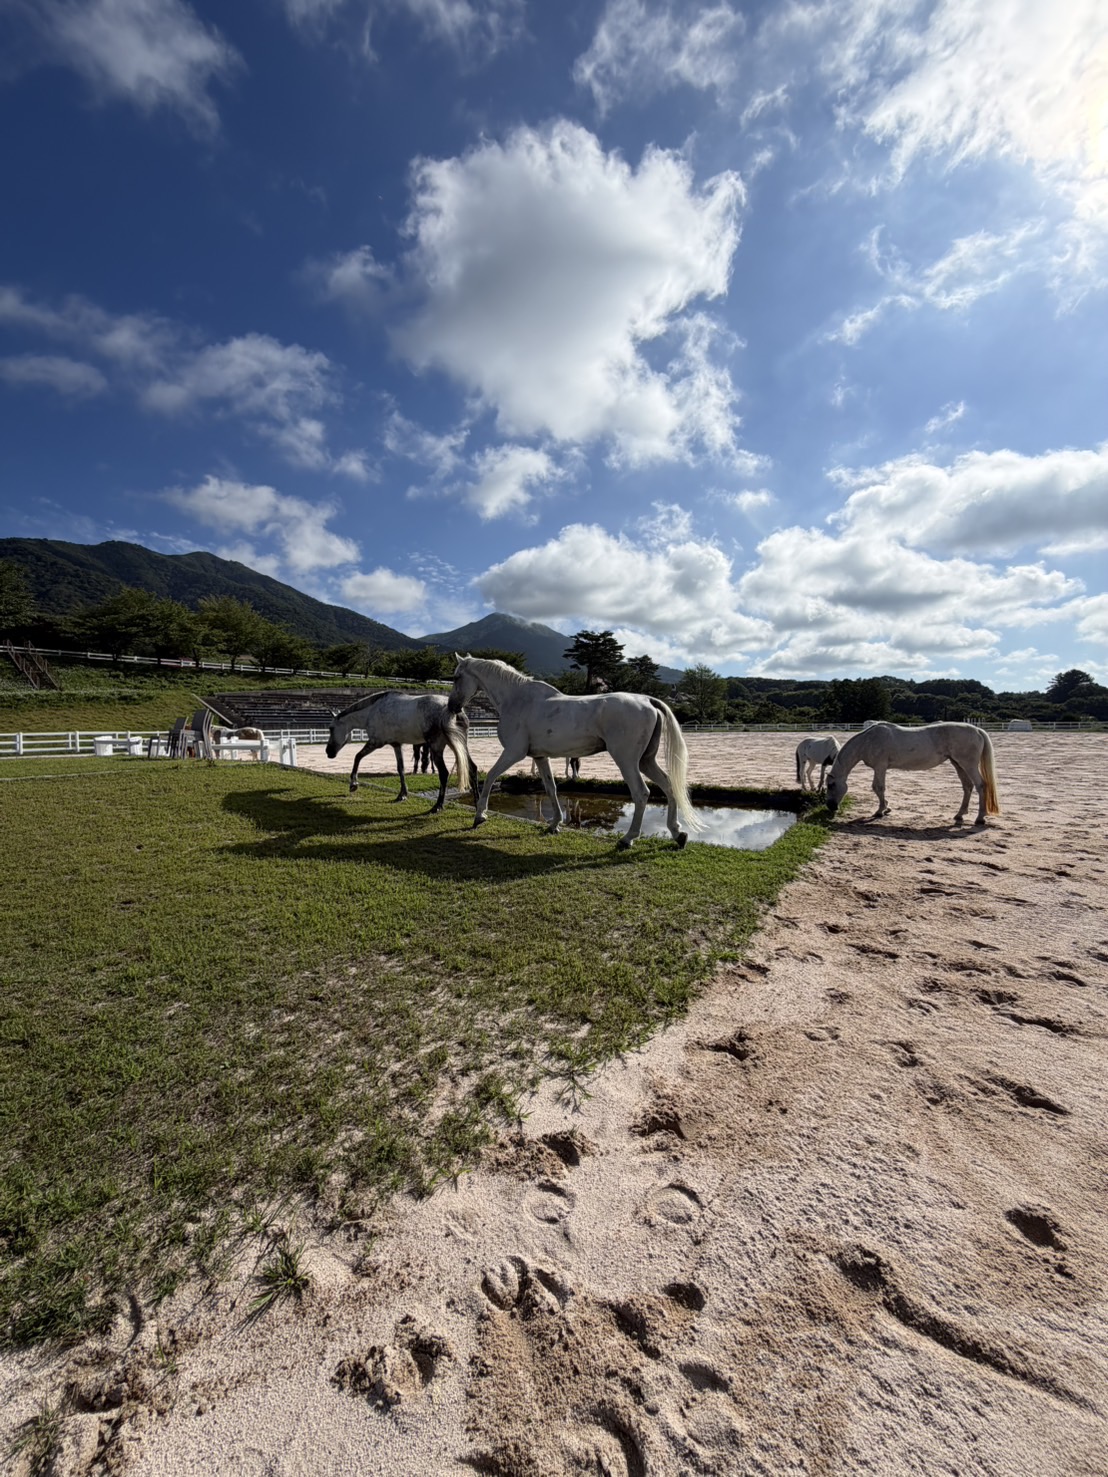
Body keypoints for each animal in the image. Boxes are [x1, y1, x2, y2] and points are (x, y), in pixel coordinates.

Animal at [326, 692, 473, 812]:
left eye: (331, 728)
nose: (328, 752)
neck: (373, 710)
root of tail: (454, 710)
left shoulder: (375, 742)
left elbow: (357, 757)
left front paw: (353, 784)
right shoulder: (396, 745)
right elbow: (400, 768)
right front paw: (402, 794)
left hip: (436, 747)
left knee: (444, 773)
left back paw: (438, 806)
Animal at [448, 654, 698, 848]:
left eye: (457, 677)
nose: (452, 707)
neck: (518, 699)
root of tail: (647, 700)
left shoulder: (513, 752)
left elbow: (490, 776)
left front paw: (480, 816)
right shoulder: (540, 757)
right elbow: (551, 788)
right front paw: (554, 823)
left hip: (627, 761)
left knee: (641, 793)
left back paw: (628, 839)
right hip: (646, 760)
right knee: (668, 786)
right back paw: (678, 834)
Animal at [825, 721, 1000, 826]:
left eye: (831, 785)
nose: (830, 807)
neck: (867, 740)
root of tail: (977, 730)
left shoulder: (880, 767)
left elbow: (878, 787)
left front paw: (880, 811)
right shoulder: (881, 768)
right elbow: (879, 789)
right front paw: (887, 807)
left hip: (968, 765)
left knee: (980, 785)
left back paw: (980, 818)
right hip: (958, 764)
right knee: (967, 787)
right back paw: (959, 815)